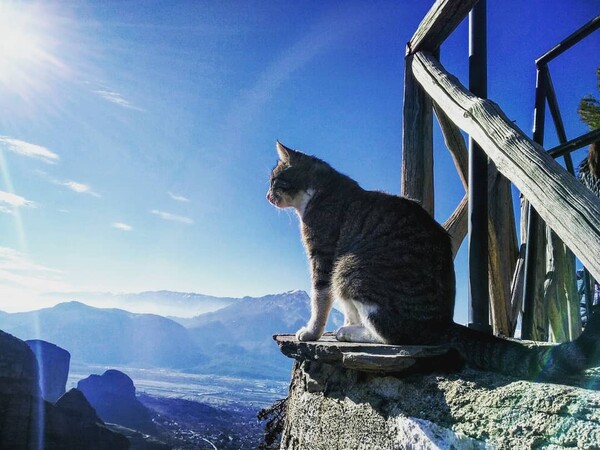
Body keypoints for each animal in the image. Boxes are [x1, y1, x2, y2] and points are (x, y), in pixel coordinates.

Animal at [268, 142, 600, 380]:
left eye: (274, 180)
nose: (267, 196)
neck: (318, 189)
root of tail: (443, 321)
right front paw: (343, 322)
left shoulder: (323, 252)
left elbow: (320, 296)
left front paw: (311, 332)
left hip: (350, 268)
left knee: (392, 335)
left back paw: (349, 333)